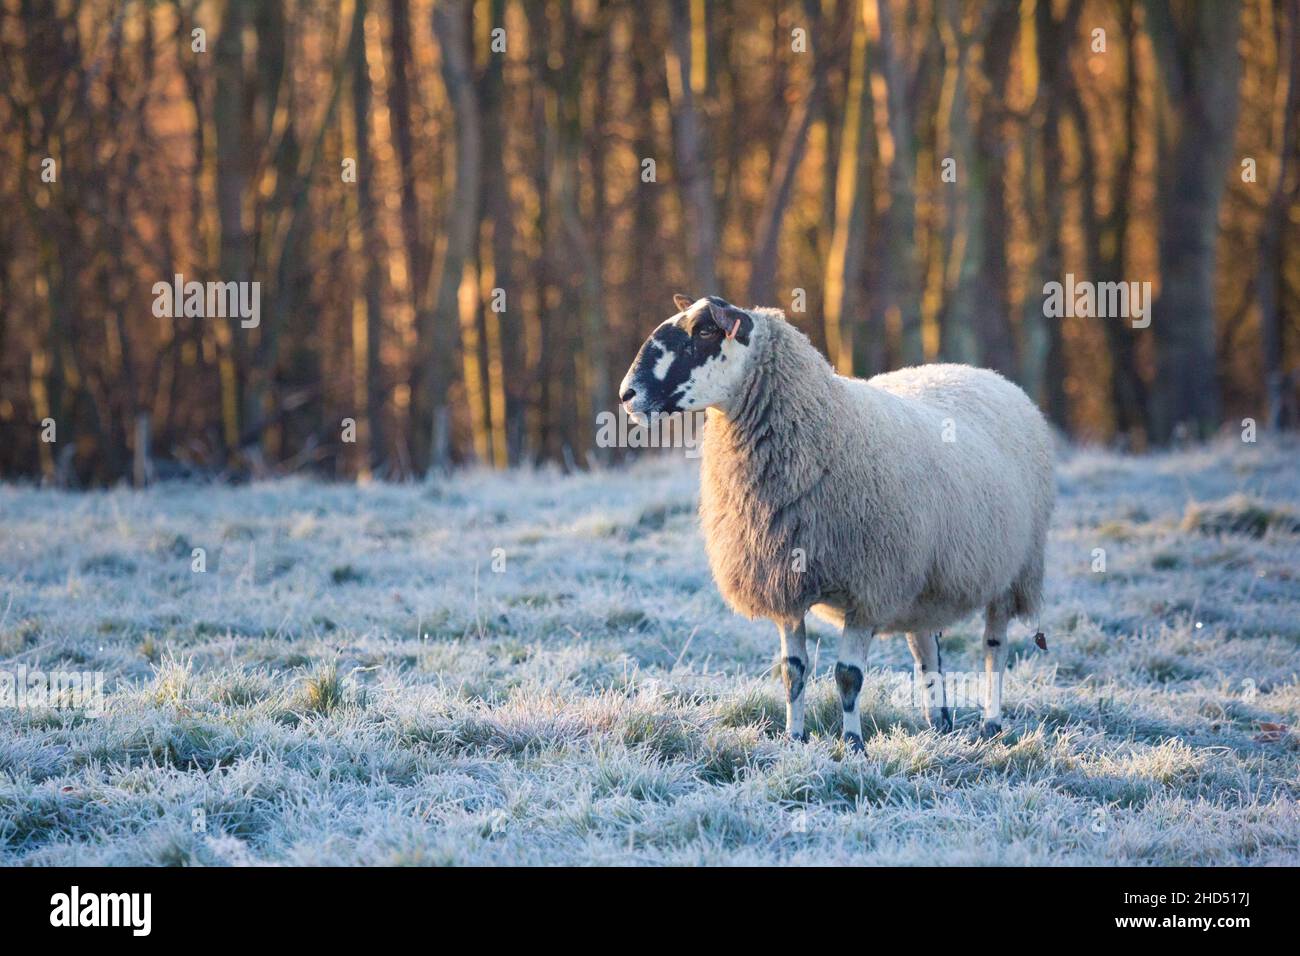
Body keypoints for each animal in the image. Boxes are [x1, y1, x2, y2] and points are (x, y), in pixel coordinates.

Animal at [618, 291, 1055, 749]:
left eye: (704, 330)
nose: (627, 395)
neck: (824, 421)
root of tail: (983, 373)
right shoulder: (785, 582)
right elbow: (792, 672)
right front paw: (794, 739)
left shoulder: (870, 585)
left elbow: (848, 676)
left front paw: (853, 745)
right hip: (924, 578)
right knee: (926, 649)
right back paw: (939, 722)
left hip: (1015, 567)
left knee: (994, 647)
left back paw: (991, 722)